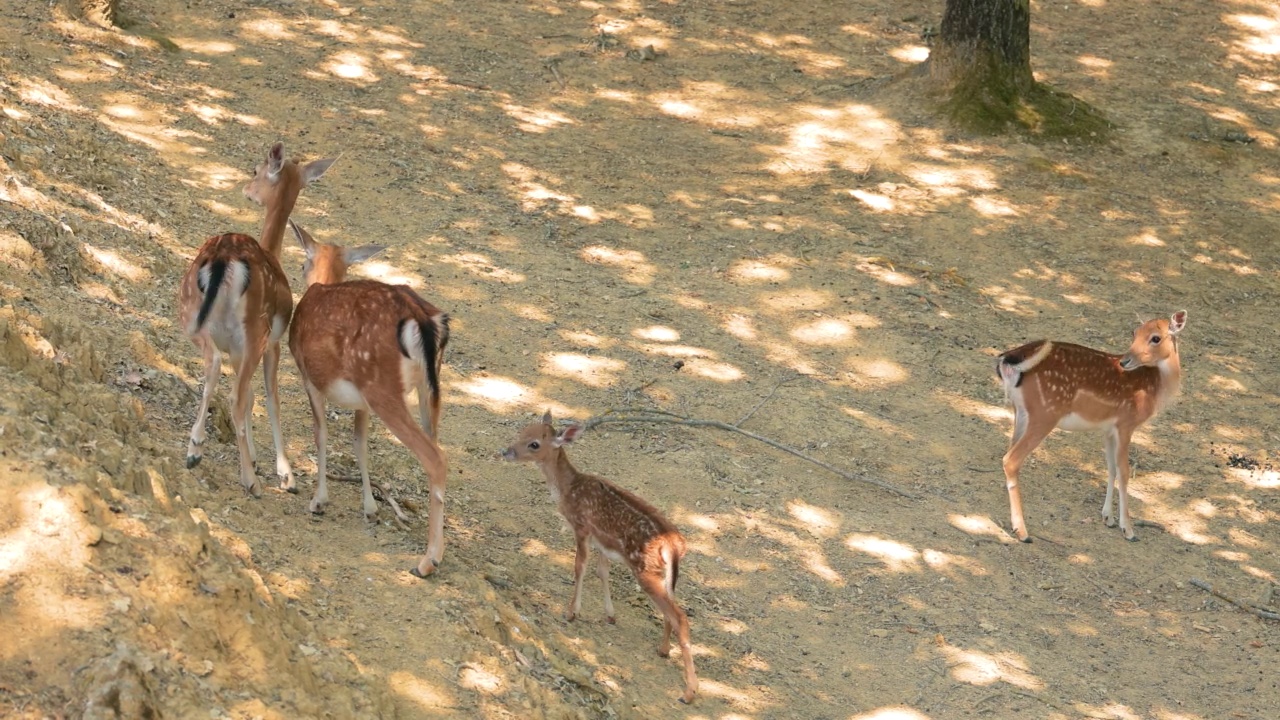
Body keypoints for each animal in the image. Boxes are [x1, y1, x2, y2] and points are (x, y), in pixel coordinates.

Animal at [179, 143, 335, 497]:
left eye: (255, 170)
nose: (247, 189)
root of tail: (223, 259)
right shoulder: (275, 341)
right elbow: (270, 398)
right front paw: (285, 475)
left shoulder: (242, 349)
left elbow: (253, 396)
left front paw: (256, 459)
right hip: (253, 331)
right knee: (234, 395)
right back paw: (250, 481)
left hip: (193, 316)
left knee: (213, 368)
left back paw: (196, 449)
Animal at [288, 219, 453, 576]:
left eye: (303, 261)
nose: (301, 269)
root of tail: (422, 319)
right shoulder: (361, 402)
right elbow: (359, 443)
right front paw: (369, 508)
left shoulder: (309, 377)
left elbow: (320, 434)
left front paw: (318, 500)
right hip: (428, 390)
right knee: (437, 447)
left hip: (383, 387)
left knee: (435, 457)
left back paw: (427, 561)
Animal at [501, 409, 701, 702]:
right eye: (522, 430)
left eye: (534, 444)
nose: (506, 452)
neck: (567, 489)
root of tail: (675, 544)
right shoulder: (602, 542)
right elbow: (602, 572)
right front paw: (609, 615)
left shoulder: (582, 527)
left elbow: (579, 566)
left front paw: (571, 612)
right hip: (664, 575)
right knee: (672, 610)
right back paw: (663, 650)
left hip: (644, 569)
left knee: (680, 617)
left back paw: (688, 692)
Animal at [988, 307, 1187, 538]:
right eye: (1134, 332)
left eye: (1155, 337)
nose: (1125, 361)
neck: (1155, 386)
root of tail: (1008, 360)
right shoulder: (1126, 423)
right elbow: (1124, 471)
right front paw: (1128, 529)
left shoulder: (1108, 429)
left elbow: (1110, 468)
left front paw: (1108, 518)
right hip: (1045, 413)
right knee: (1011, 459)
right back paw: (1022, 531)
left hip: (1020, 411)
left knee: (1008, 453)